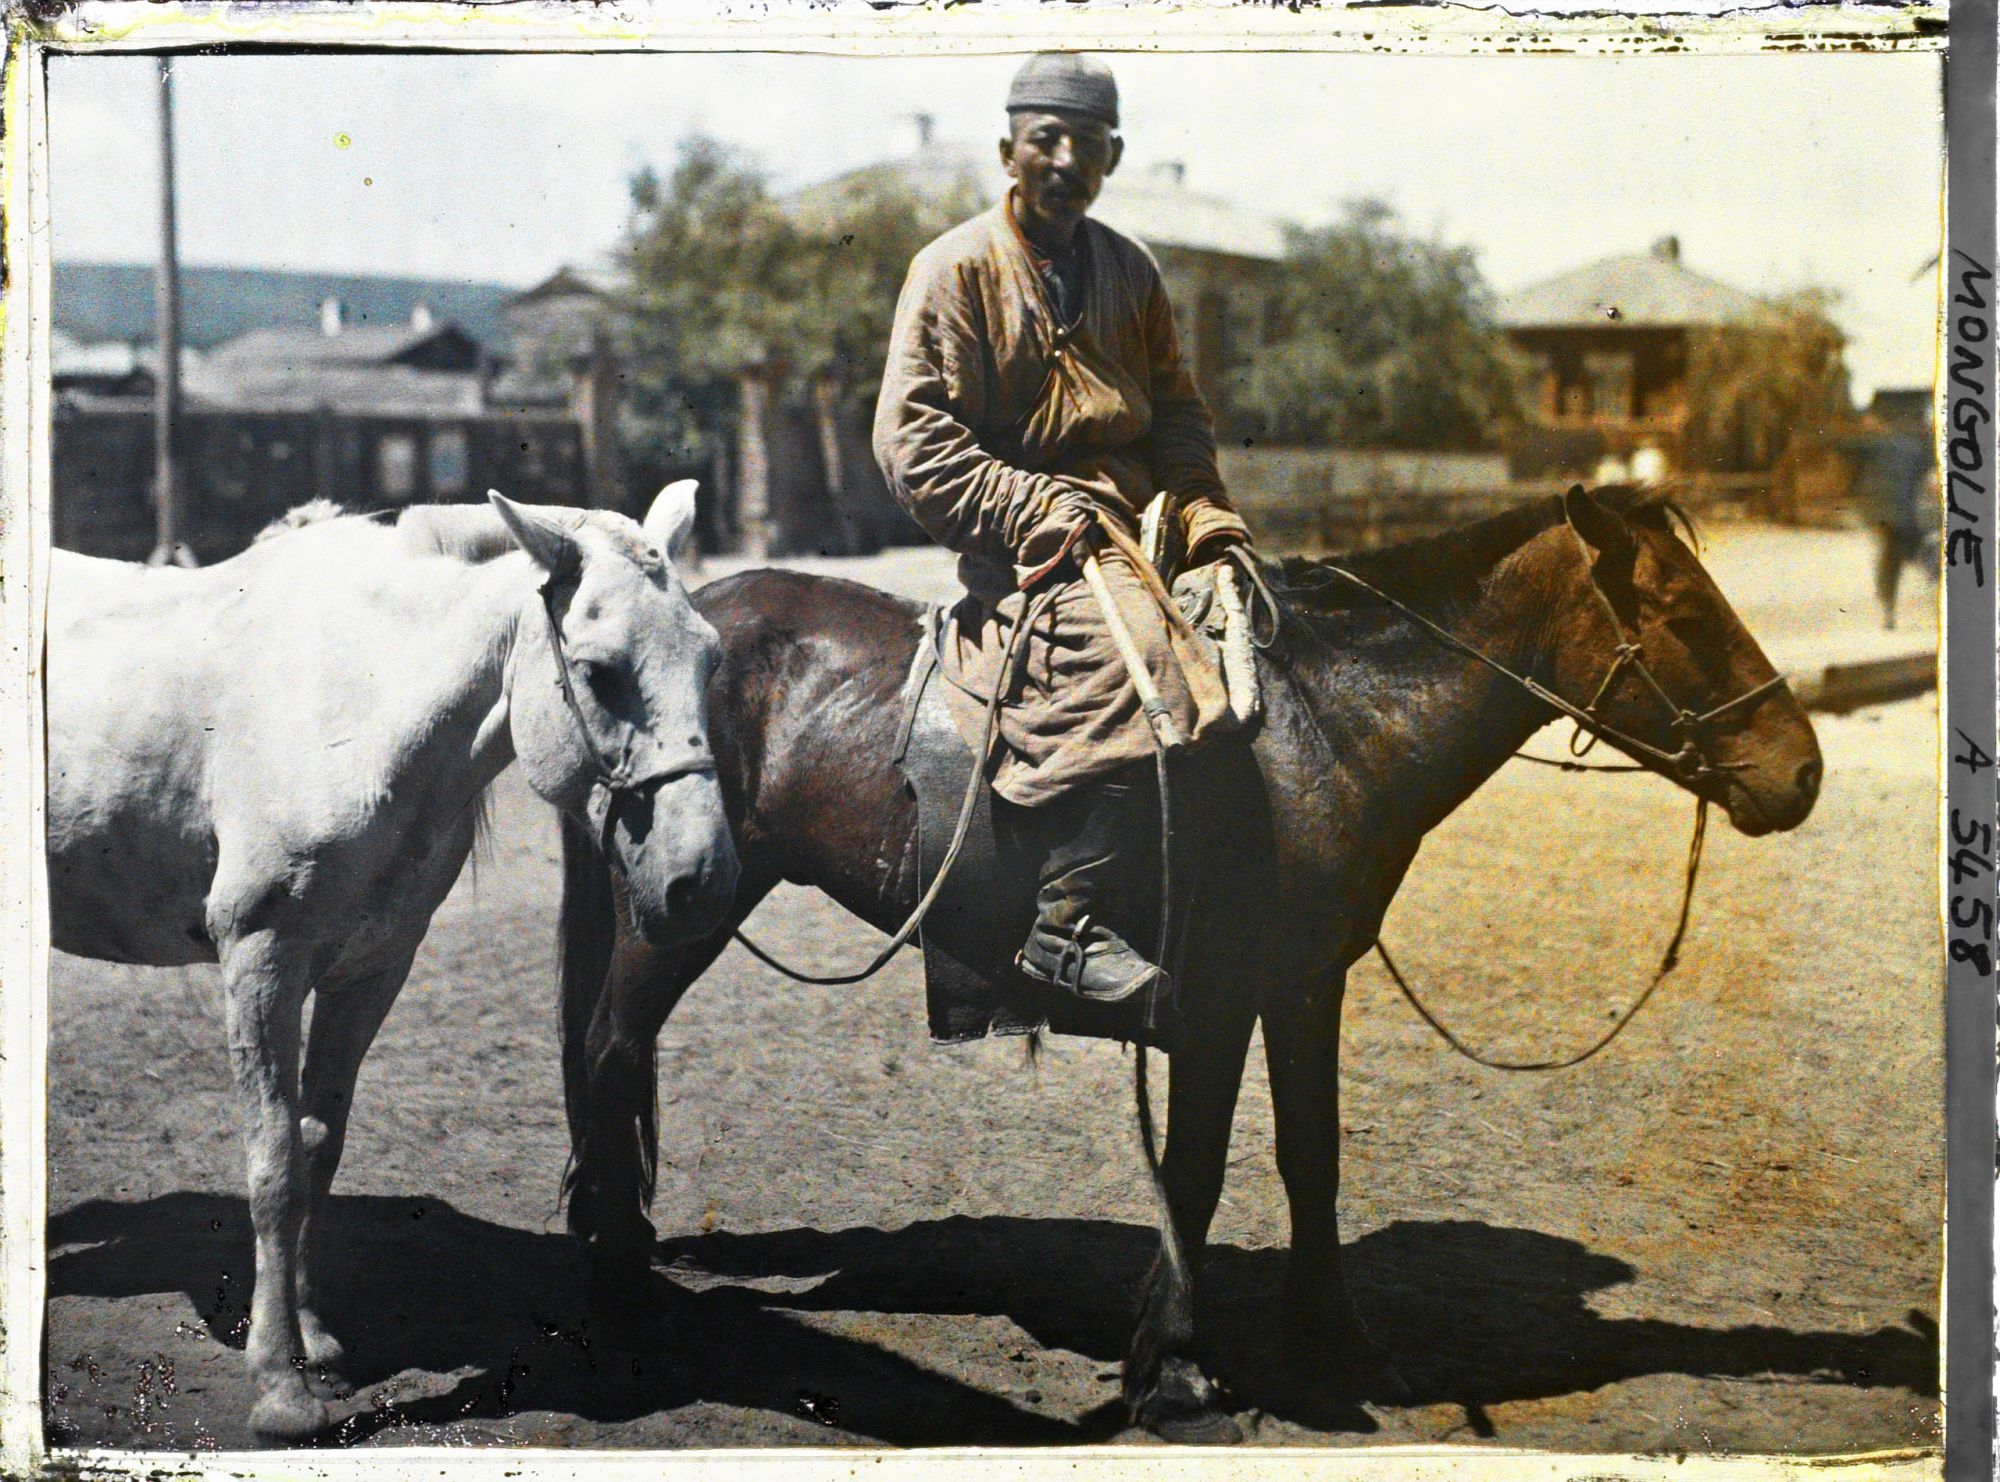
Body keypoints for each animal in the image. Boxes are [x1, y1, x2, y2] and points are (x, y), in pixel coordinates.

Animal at [45, 483, 741, 1441]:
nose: (702, 882)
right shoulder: (261, 960)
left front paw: (315, 1342)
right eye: (600, 672)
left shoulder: (369, 970)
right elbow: (274, 1164)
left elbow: (318, 1148)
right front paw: (281, 1385)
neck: (355, 695)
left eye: (711, 661)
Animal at [552, 484, 1822, 1443]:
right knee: (611, 1050)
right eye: (1679, 610)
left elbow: (1310, 1158)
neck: (1324, 729)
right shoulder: (1212, 997)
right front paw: (1172, 1370)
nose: (1800, 771)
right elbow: (1196, 1175)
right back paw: (619, 1292)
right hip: (680, 906)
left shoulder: (1305, 984)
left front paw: (1335, 1344)